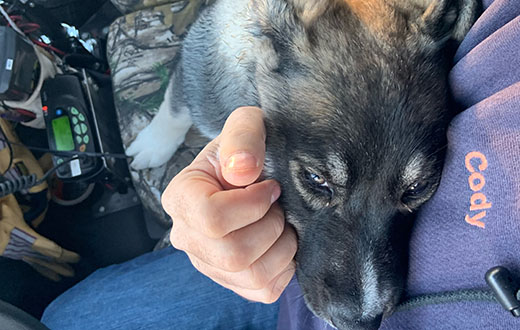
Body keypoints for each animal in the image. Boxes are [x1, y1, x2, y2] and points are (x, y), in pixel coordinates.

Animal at [127, 1, 480, 328]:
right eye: (315, 178)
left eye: (417, 187)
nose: (360, 322)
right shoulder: (197, 65)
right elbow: (175, 106)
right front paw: (153, 144)